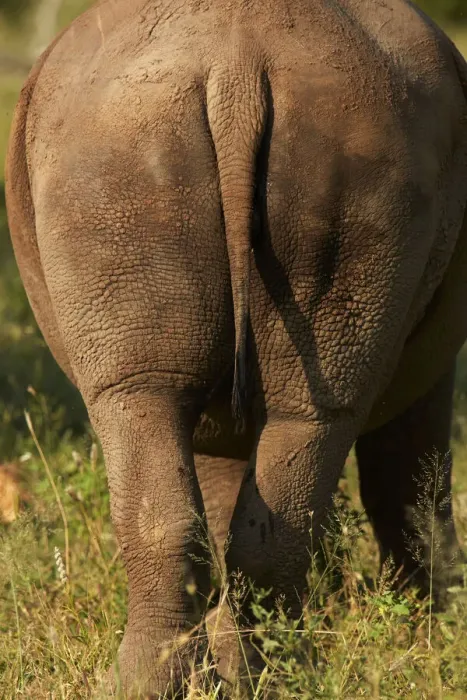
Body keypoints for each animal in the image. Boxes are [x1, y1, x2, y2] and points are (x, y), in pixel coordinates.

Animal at [5, 0, 467, 695]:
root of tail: (237, 70)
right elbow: (412, 481)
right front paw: (432, 640)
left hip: (129, 155)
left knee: (158, 405)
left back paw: (189, 683)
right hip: (157, 148)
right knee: (284, 417)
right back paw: (266, 678)